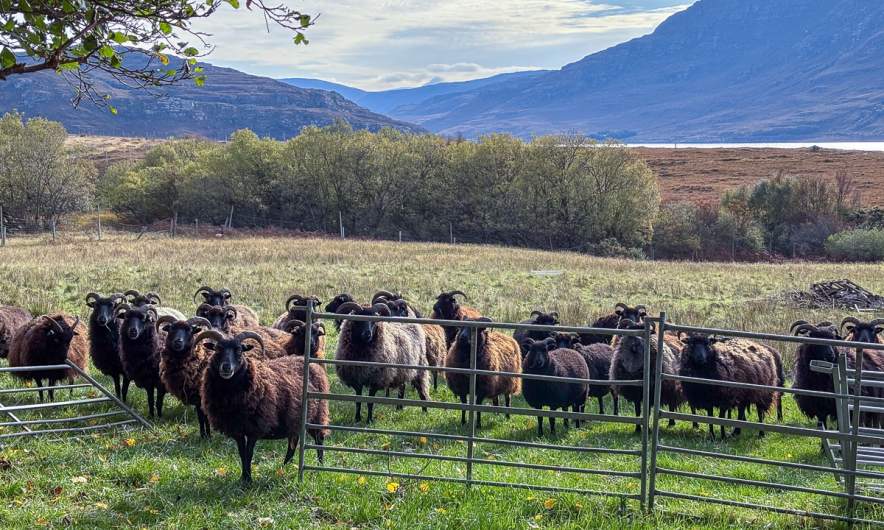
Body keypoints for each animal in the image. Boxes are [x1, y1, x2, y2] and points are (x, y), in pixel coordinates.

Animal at [198, 329, 330, 482]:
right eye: (217, 349)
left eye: (239, 350)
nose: (226, 367)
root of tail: (314, 365)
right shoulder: (237, 429)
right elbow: (242, 453)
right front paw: (243, 477)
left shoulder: (255, 427)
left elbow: (249, 453)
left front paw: (248, 480)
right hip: (295, 418)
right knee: (294, 440)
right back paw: (284, 466)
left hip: (317, 414)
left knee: (319, 439)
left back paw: (319, 465)